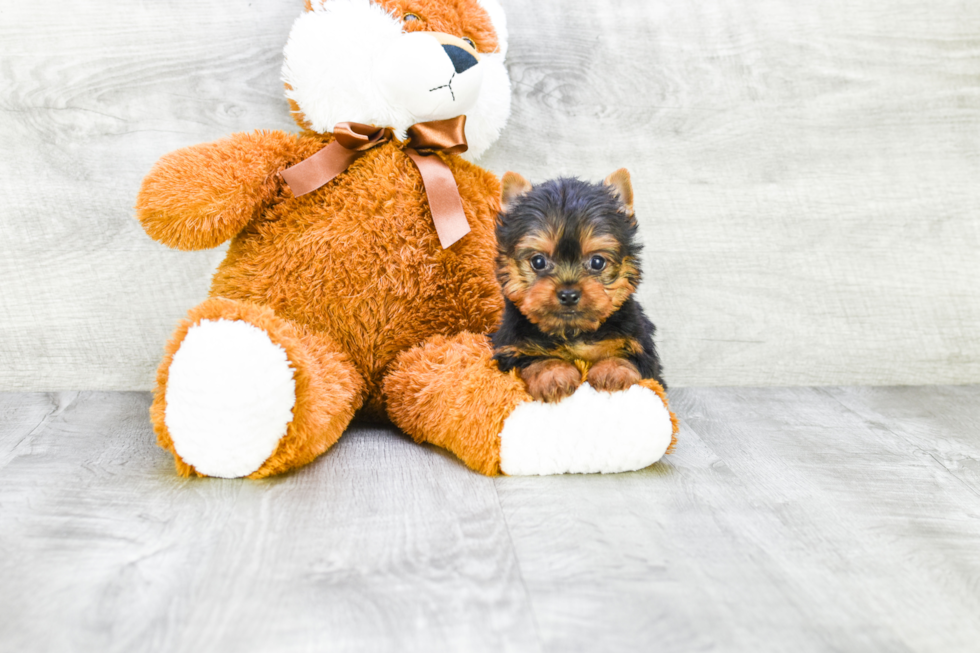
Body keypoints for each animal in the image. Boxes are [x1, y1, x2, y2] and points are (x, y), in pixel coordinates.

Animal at [490, 169, 668, 402]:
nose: (568, 294)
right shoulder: (511, 348)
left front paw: (612, 371)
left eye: (597, 262)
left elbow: (627, 356)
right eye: (538, 262)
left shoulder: (640, 344)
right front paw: (554, 375)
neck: (573, 333)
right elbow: (535, 359)